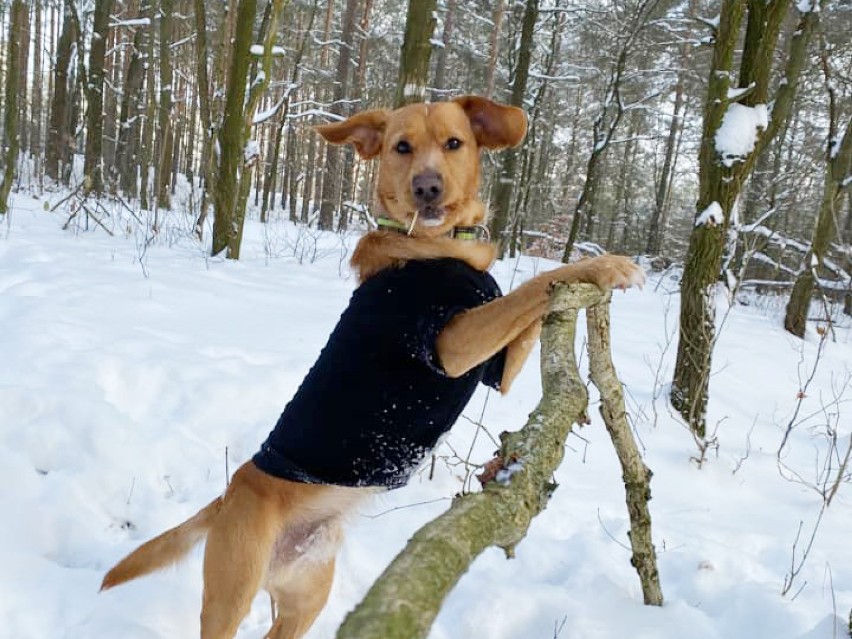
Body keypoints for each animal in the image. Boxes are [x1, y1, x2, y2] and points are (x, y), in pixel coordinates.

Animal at [100, 96, 644, 639]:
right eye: (401, 147)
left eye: (454, 142)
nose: (427, 186)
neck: (437, 244)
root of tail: (231, 493)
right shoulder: (453, 344)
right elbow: (531, 285)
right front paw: (607, 265)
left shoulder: (499, 366)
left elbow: (534, 302)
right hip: (230, 594)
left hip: (305, 597)